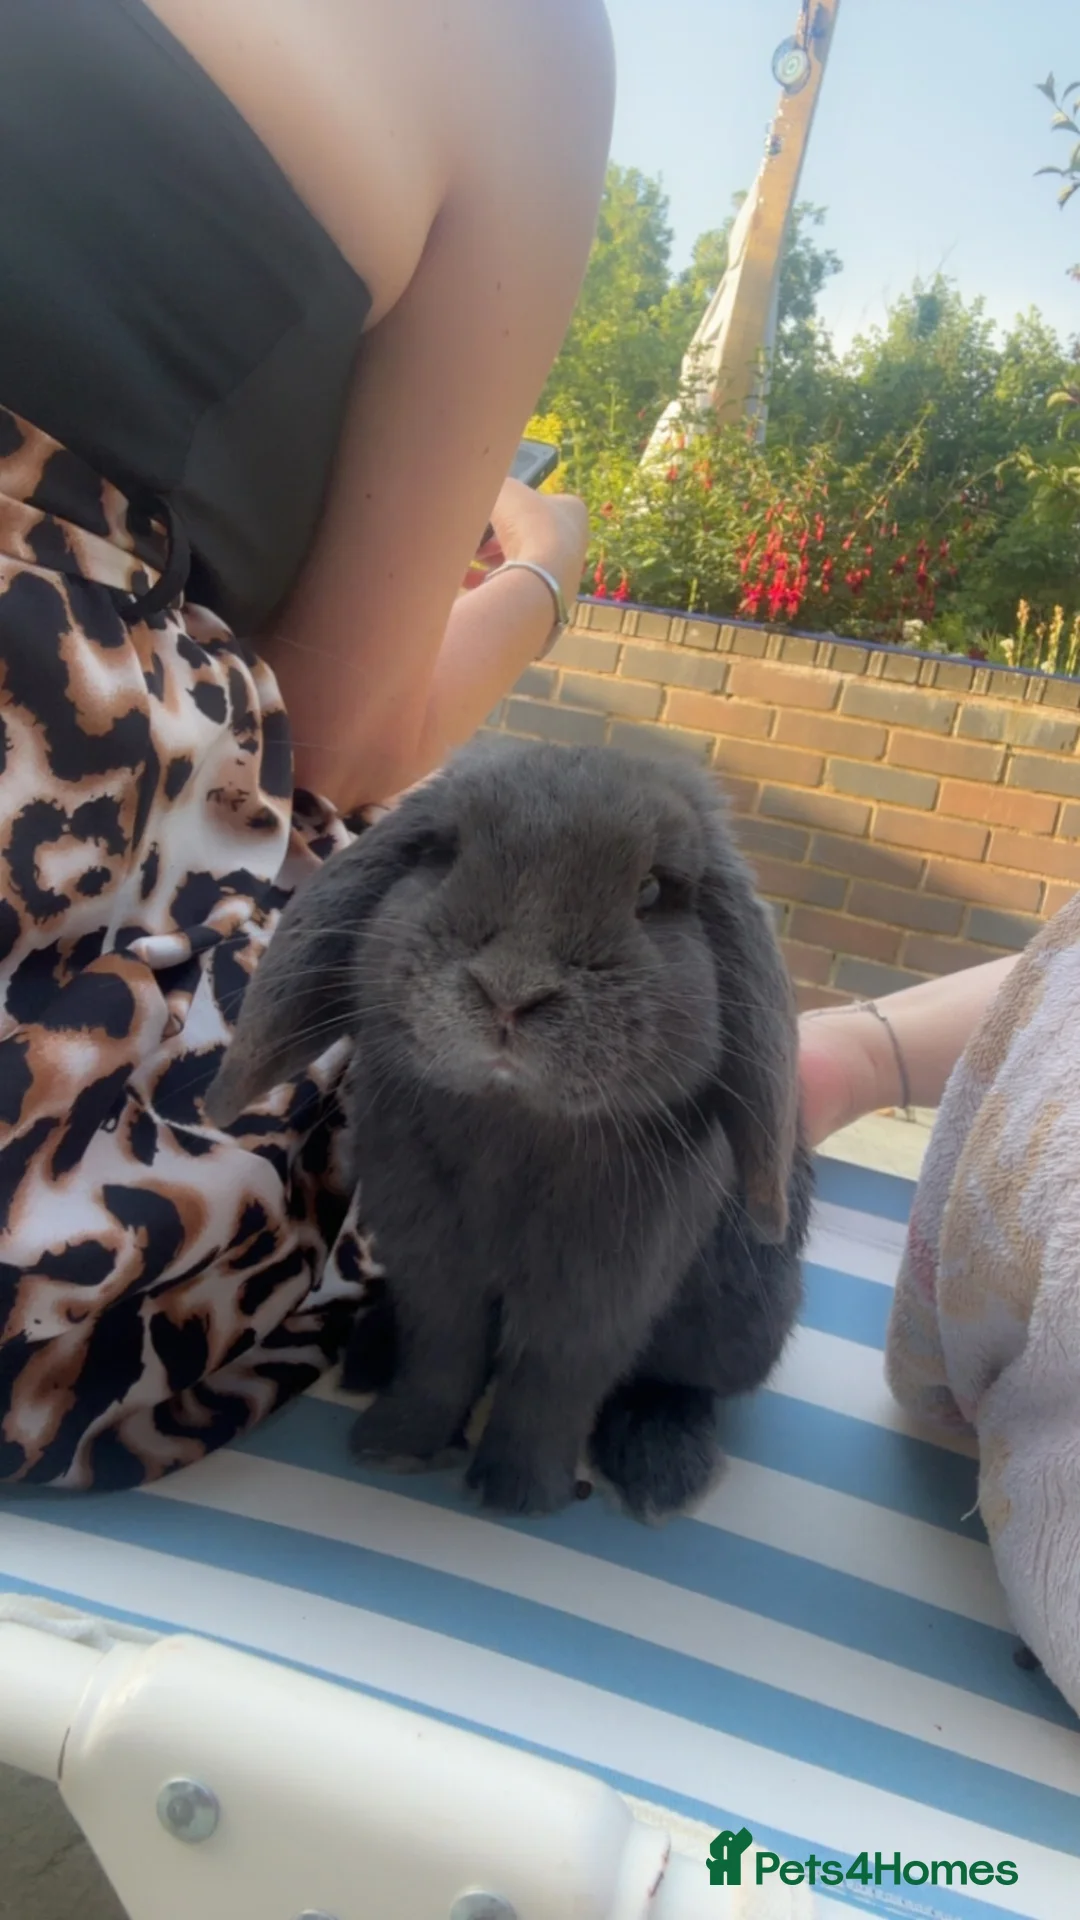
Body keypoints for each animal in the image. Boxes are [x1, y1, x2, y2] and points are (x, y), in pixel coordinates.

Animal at [205, 737, 812, 1520]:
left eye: (652, 892)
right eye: (444, 853)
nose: (510, 992)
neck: (513, 1118)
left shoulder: (597, 1293)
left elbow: (551, 1386)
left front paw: (521, 1495)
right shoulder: (434, 1266)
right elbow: (443, 1357)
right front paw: (398, 1446)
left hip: (742, 1320)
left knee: (683, 1383)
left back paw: (661, 1463)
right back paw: (372, 1354)